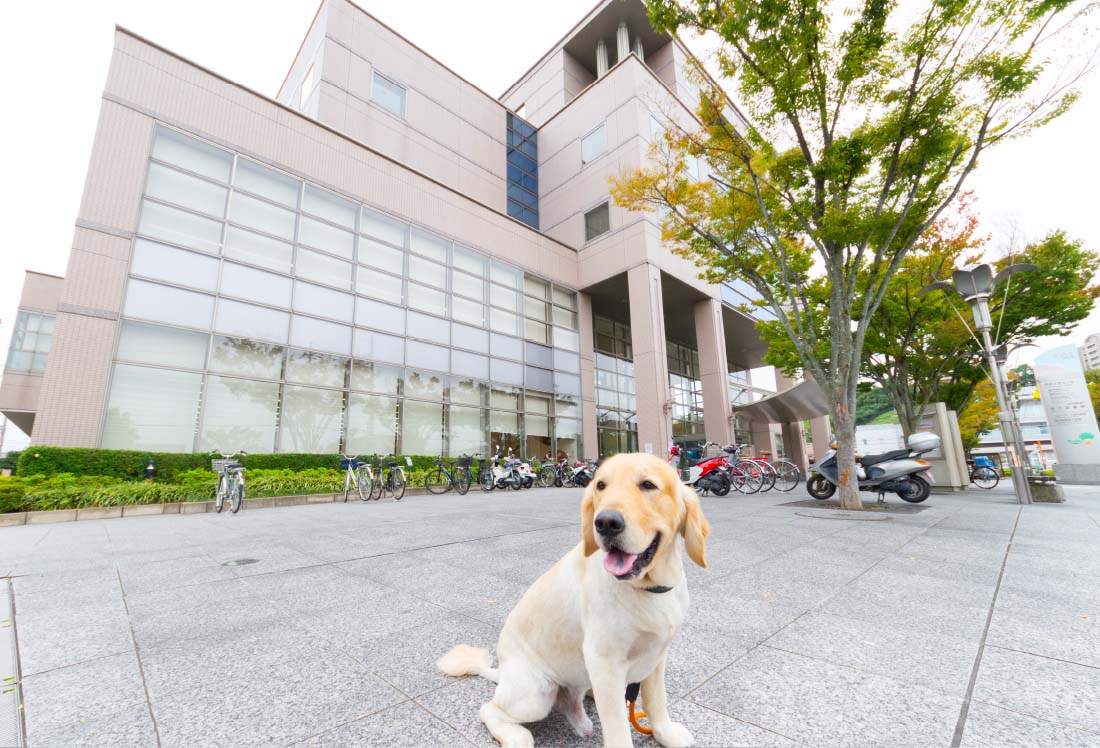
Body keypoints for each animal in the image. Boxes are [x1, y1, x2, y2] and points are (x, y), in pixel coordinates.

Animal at [433, 451, 708, 748]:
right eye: (601, 486)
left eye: (648, 485)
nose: (605, 523)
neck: (647, 587)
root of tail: (502, 671)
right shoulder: (604, 660)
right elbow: (618, 728)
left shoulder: (656, 655)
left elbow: (657, 701)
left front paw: (664, 733)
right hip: (537, 692)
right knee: (490, 709)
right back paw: (518, 736)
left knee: (572, 700)